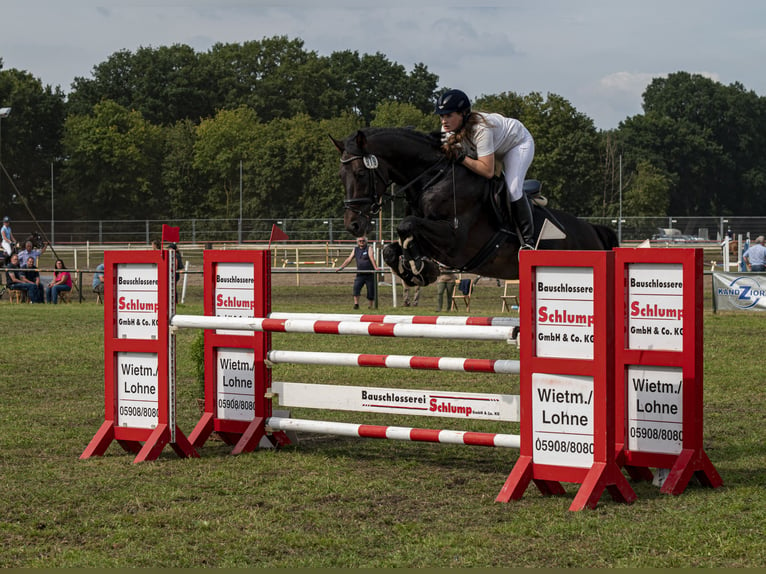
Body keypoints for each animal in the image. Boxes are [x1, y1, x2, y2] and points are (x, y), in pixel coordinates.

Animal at [332, 127, 620, 286]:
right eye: (341, 175)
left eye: (360, 173)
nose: (352, 224)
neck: (432, 178)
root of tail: (594, 231)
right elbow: (393, 247)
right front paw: (417, 271)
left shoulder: (455, 239)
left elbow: (407, 225)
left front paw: (422, 268)